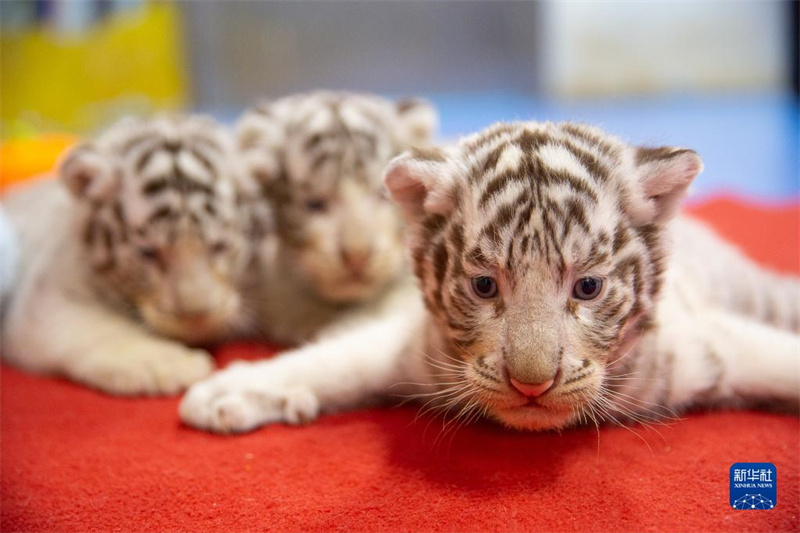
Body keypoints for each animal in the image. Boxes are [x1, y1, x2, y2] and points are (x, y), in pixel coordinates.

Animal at [1, 115, 260, 396]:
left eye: (220, 245)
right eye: (148, 253)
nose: (197, 318)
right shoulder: (46, 297)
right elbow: (96, 330)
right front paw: (169, 364)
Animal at [180, 120, 800, 433]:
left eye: (588, 287)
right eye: (485, 286)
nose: (532, 385)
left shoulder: (710, 344)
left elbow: (778, 358)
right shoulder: (412, 349)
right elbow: (338, 360)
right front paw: (225, 393)